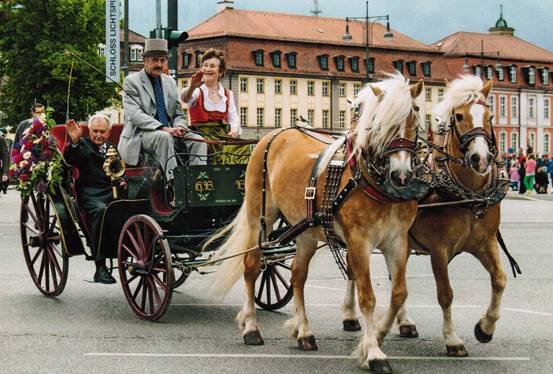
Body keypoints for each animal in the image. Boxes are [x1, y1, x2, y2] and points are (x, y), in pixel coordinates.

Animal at [207, 74, 422, 372]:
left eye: (414, 115)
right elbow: (367, 297)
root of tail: (274, 134)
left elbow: (399, 293)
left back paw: (304, 332)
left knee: (297, 275)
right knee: (251, 266)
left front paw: (378, 335)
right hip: (258, 216)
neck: (372, 183)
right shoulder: (359, 243)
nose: (401, 174)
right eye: (381, 122)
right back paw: (251, 327)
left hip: (305, 230)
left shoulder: (397, 242)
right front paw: (373, 350)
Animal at [340, 75, 508, 356]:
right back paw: (350, 315)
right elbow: (446, 294)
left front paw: (485, 328)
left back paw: (405, 322)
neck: (469, 197)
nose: (481, 159)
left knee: (393, 277)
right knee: (353, 270)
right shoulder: (439, 250)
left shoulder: (486, 242)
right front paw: (452, 339)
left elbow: (500, 280)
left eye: (491, 115)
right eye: (459, 116)